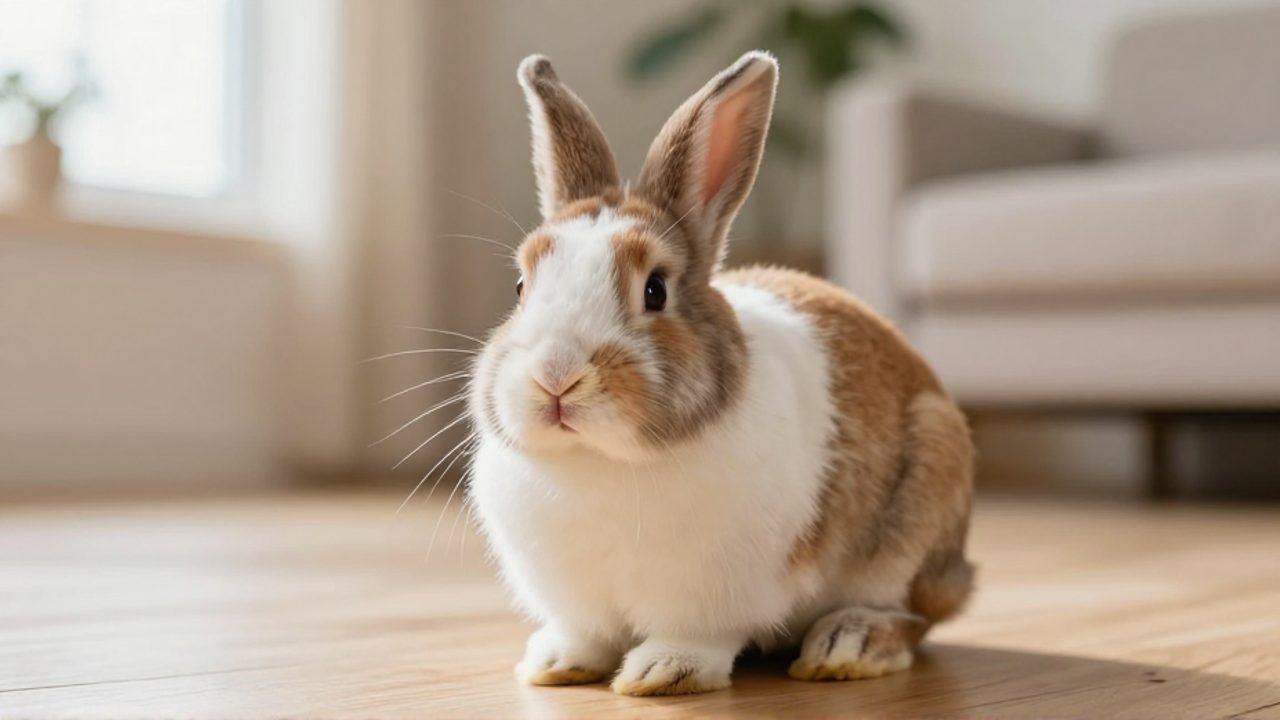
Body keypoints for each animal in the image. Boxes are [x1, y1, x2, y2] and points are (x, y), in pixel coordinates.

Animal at [466, 50, 975, 697]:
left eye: (655, 290)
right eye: (520, 286)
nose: (556, 376)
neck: (601, 462)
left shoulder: (711, 597)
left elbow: (695, 638)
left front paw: (661, 673)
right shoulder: (579, 603)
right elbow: (586, 634)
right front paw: (554, 665)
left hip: (921, 507)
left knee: (911, 617)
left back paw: (846, 647)